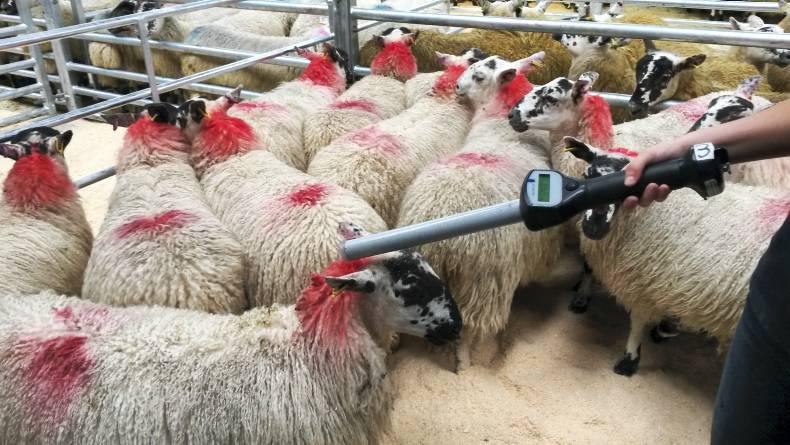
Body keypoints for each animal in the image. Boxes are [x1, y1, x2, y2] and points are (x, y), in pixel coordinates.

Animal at [398, 53, 563, 370]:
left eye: (478, 76)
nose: (457, 86)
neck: (498, 126)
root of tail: (443, 242)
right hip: (483, 281)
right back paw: (466, 366)